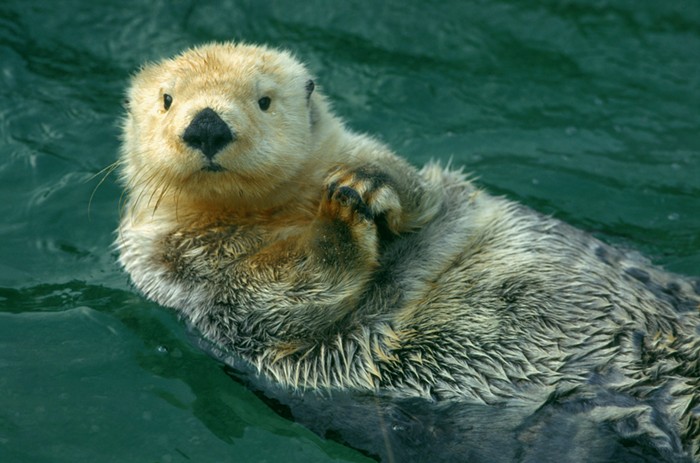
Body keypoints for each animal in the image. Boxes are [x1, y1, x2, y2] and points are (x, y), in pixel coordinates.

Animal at [117, 42, 699, 461]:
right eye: (167, 99)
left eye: (264, 99)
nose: (207, 124)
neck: (274, 216)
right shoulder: (178, 269)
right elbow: (275, 298)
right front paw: (339, 221)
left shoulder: (419, 188)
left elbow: (420, 194)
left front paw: (365, 184)